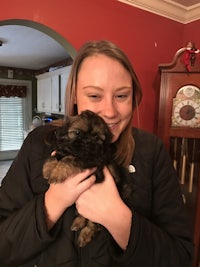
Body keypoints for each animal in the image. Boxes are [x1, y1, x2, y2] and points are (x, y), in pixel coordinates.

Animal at [43, 110, 131, 248]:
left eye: (97, 138)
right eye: (78, 132)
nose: (88, 141)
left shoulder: (92, 164)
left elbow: (69, 159)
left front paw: (57, 173)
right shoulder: (65, 149)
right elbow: (57, 155)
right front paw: (48, 168)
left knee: (94, 224)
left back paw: (84, 235)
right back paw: (77, 223)